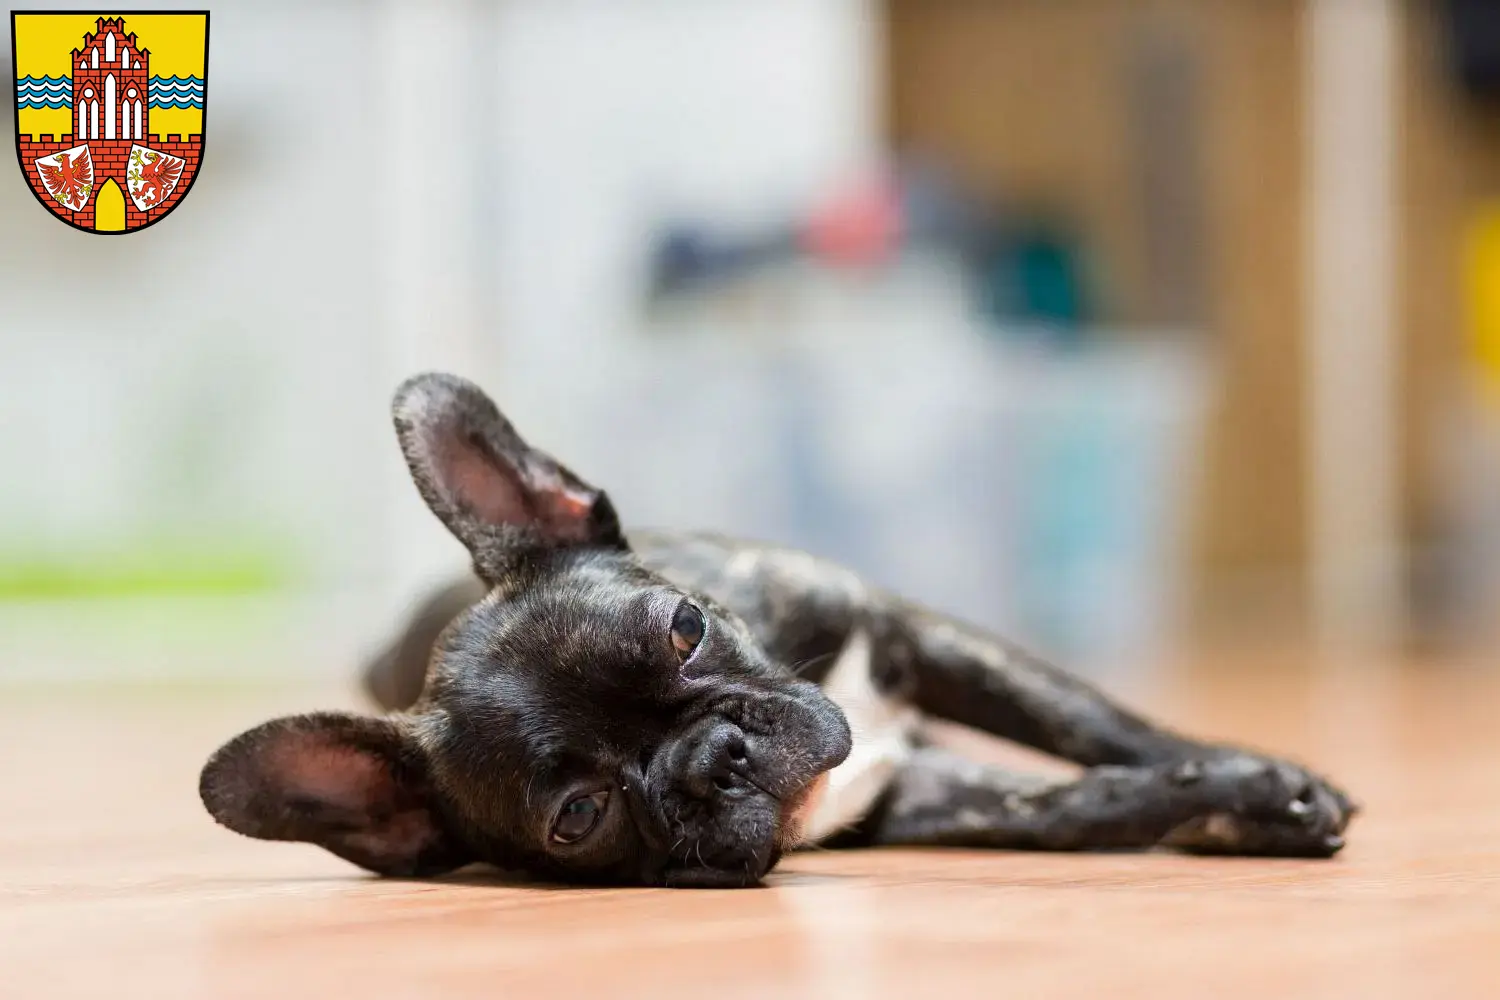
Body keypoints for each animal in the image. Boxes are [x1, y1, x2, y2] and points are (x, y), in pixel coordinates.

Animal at [199, 377, 1362, 893]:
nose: (715, 754)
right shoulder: (912, 797)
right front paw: (1239, 802)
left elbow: (1096, 726)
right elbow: (1068, 806)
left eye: (686, 626)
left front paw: (1267, 785)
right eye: (578, 816)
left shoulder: (920, 635)